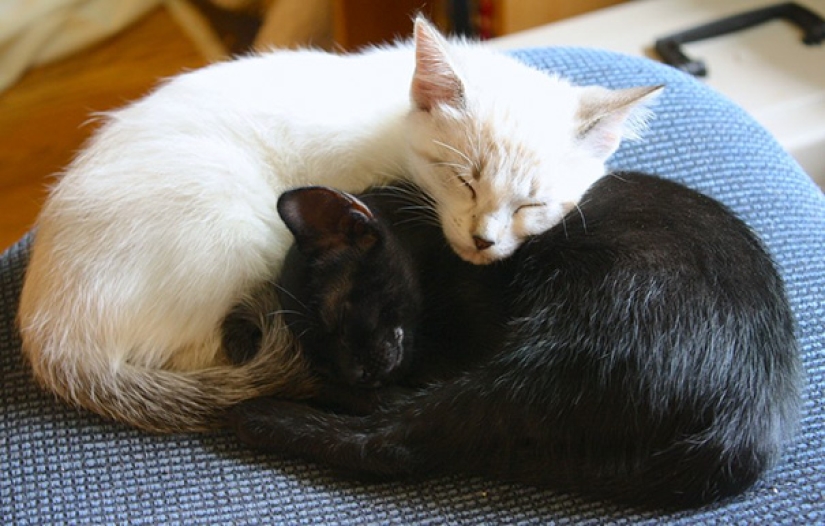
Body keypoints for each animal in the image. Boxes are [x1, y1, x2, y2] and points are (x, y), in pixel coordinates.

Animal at [17, 17, 656, 434]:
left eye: (533, 204)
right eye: (463, 180)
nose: (483, 240)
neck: (395, 119)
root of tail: (49, 334)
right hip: (236, 228)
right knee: (205, 354)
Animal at [230, 174, 800, 512]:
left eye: (339, 314)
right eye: (320, 352)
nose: (351, 371)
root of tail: (749, 420)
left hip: (565, 347)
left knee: (394, 443)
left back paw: (261, 415)